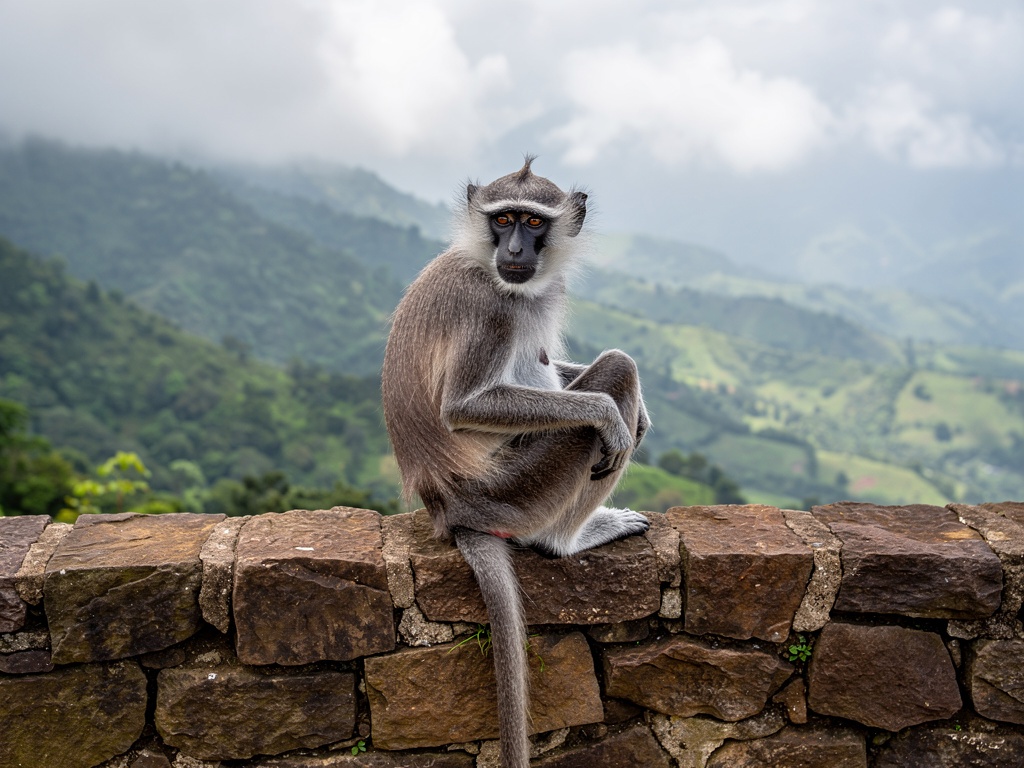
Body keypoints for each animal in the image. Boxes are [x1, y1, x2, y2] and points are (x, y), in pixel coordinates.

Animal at [382, 158, 649, 768]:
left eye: (532, 221)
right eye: (503, 219)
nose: (516, 248)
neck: (489, 265)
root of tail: (448, 509)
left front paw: (641, 413)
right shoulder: (491, 306)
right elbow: (464, 406)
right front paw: (608, 412)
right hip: (517, 487)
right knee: (617, 372)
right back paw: (566, 539)